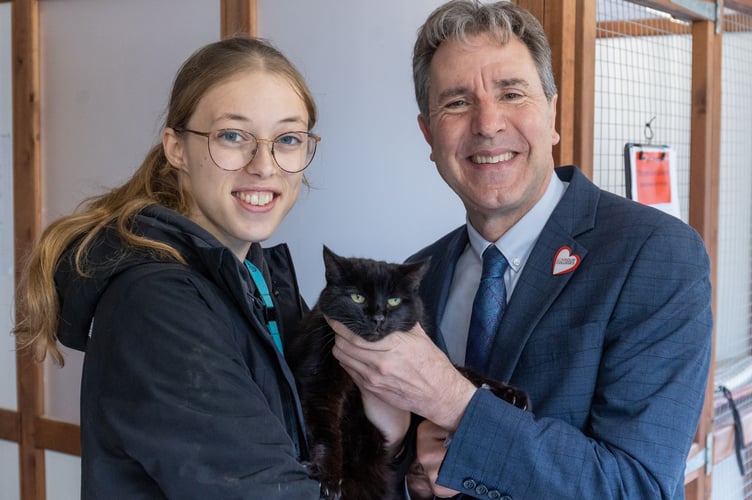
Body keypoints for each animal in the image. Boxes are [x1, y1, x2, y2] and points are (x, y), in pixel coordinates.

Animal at [284, 247, 524, 500]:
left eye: (394, 300)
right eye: (358, 297)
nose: (378, 318)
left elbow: (461, 371)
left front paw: (509, 393)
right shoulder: (319, 379)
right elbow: (325, 429)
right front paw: (328, 477)